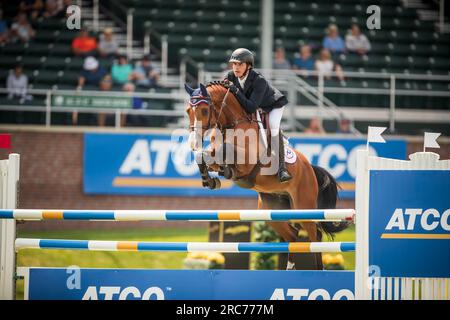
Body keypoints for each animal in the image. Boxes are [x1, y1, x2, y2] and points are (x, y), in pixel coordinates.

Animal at [184, 80, 344, 270]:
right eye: (188, 110)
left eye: (204, 110)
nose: (193, 142)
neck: (231, 124)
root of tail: (310, 168)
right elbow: (203, 155)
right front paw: (210, 180)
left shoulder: (247, 161)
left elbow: (226, 150)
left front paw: (226, 170)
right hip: (272, 209)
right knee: (293, 235)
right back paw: (290, 268)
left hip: (304, 205)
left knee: (315, 236)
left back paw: (320, 270)